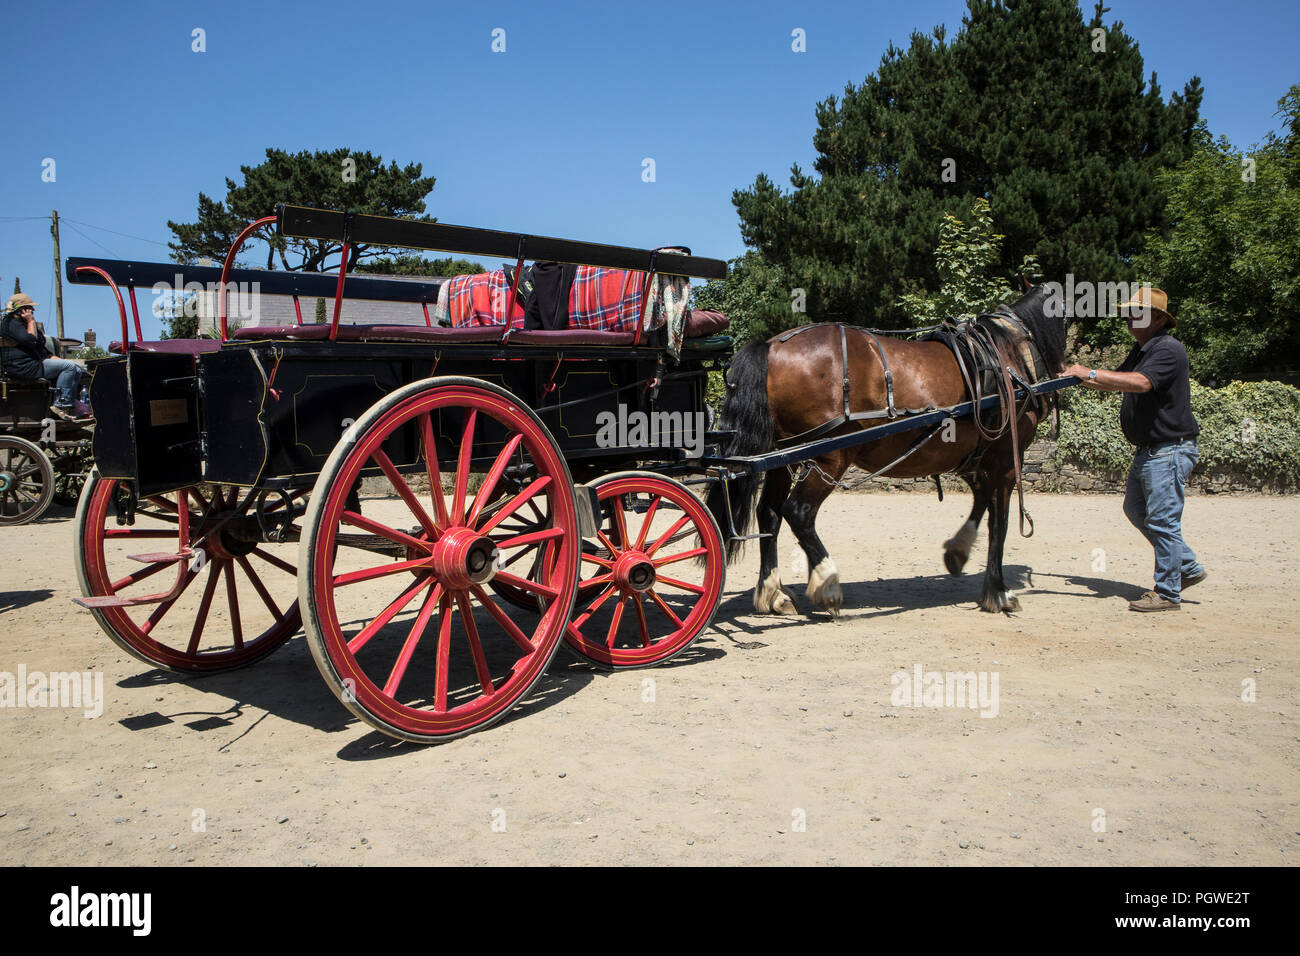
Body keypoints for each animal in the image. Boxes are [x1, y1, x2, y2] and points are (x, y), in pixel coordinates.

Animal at [712, 283, 1066, 616]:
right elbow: (1000, 522)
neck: (1009, 352)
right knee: (798, 512)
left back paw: (774, 593)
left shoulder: (976, 459)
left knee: (769, 513)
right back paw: (827, 585)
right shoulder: (1006, 459)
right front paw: (998, 591)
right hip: (828, 458)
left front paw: (958, 552)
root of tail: (772, 345)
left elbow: (982, 504)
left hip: (783, 459)